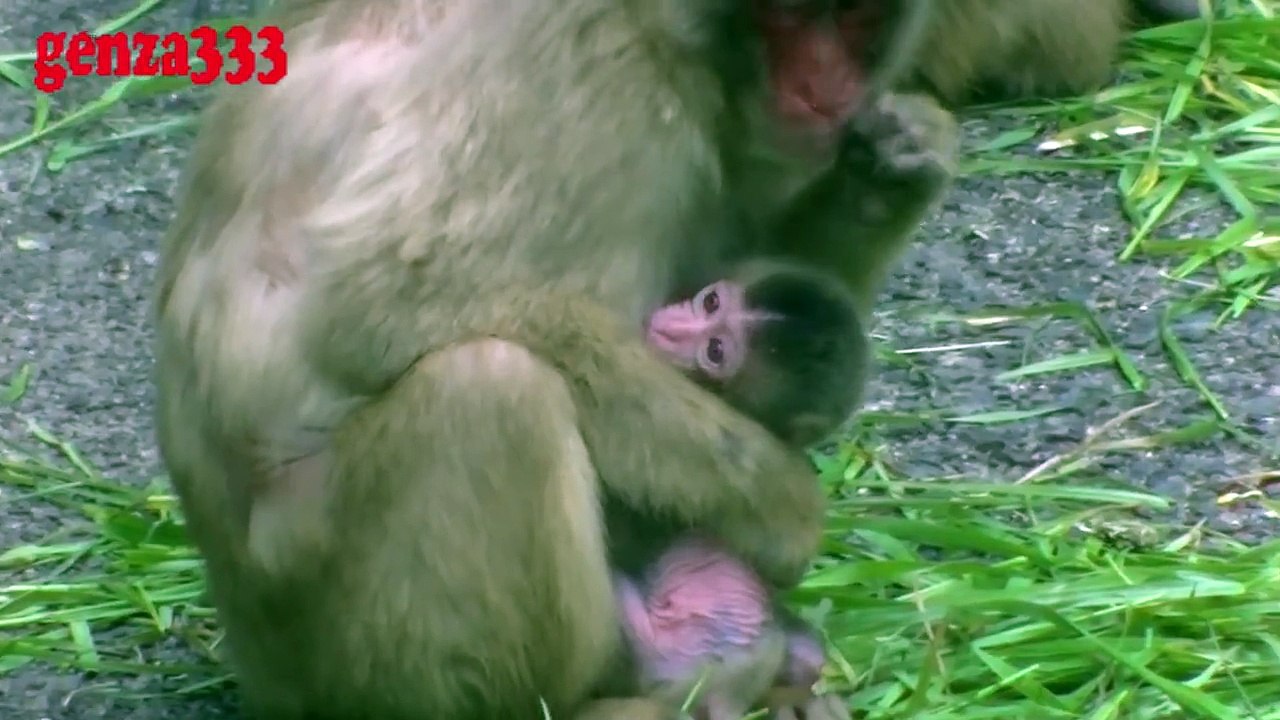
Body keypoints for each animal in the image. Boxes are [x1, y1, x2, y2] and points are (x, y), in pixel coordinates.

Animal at [153, 1, 956, 719]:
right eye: (787, 18)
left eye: (855, 18)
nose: (824, 89)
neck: (676, 36)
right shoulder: (598, 80)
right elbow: (388, 308)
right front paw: (782, 506)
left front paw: (891, 169)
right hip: (314, 621)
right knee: (490, 389)